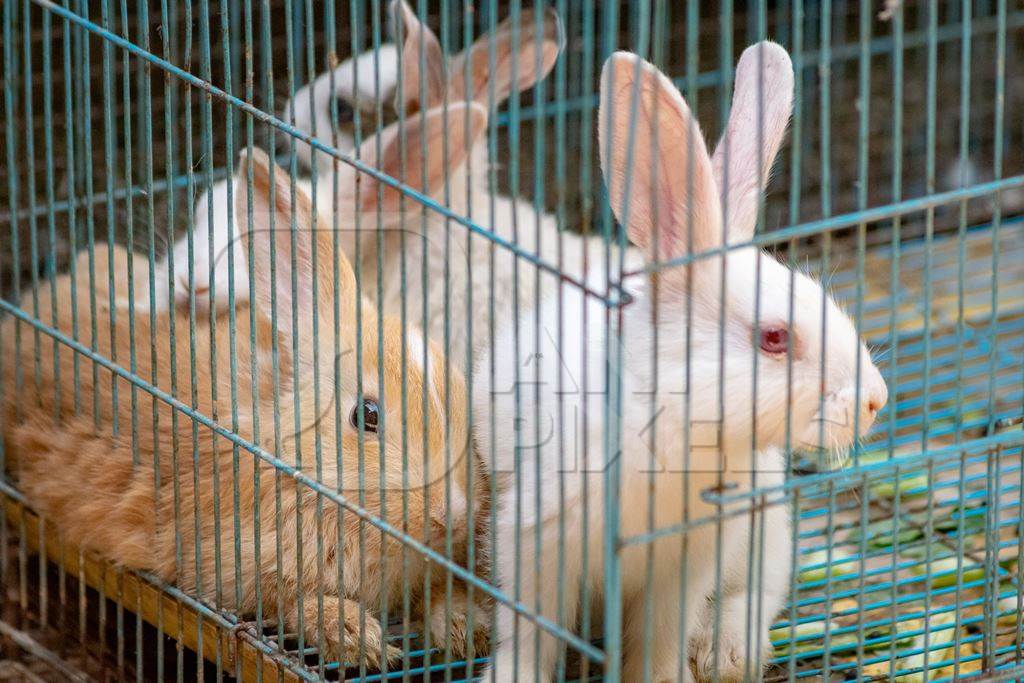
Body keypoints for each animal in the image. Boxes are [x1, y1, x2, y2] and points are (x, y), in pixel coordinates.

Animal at [1, 148, 491, 667]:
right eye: (367, 416)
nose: (452, 514)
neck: (298, 464)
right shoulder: (239, 568)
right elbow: (295, 604)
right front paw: (356, 636)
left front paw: (466, 626)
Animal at [475, 45, 884, 679]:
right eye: (774, 337)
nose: (875, 400)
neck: (674, 421)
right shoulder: (536, 540)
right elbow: (529, 632)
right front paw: (512, 675)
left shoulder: (684, 568)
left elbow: (660, 639)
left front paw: (667, 674)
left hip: (765, 533)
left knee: (757, 595)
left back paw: (727, 651)